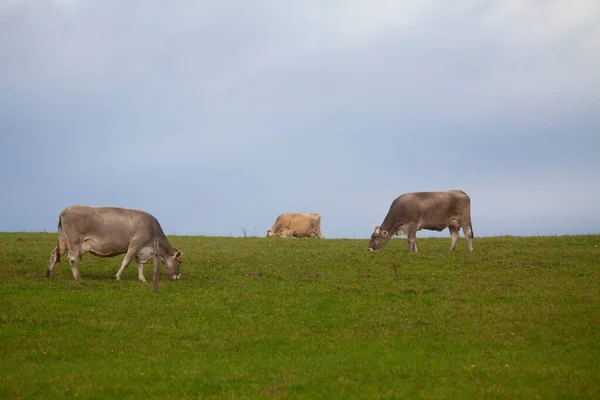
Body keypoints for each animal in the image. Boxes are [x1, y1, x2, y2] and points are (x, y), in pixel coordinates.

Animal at [46, 206, 183, 282]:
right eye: (180, 261)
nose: (178, 277)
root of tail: (65, 210)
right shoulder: (134, 245)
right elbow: (126, 262)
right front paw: (118, 277)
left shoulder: (140, 250)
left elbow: (140, 265)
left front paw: (142, 279)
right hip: (74, 241)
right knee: (72, 258)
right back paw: (77, 277)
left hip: (64, 240)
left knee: (54, 254)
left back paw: (48, 273)